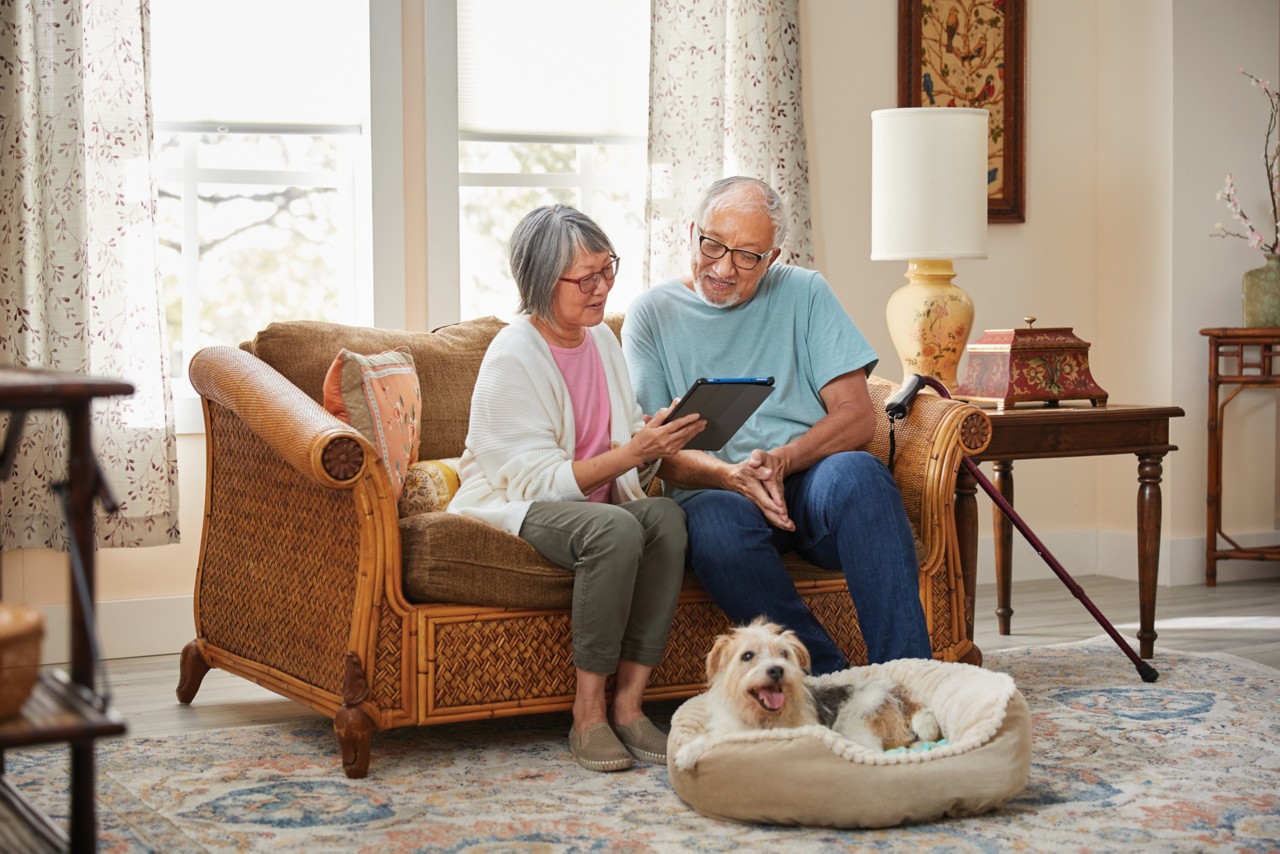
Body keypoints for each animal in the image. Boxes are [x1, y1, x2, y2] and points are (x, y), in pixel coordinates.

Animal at [675, 614, 947, 768]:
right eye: (747, 656)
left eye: (783, 653)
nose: (777, 670)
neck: (763, 719)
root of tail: (899, 694)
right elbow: (713, 738)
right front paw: (688, 750)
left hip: (855, 724)